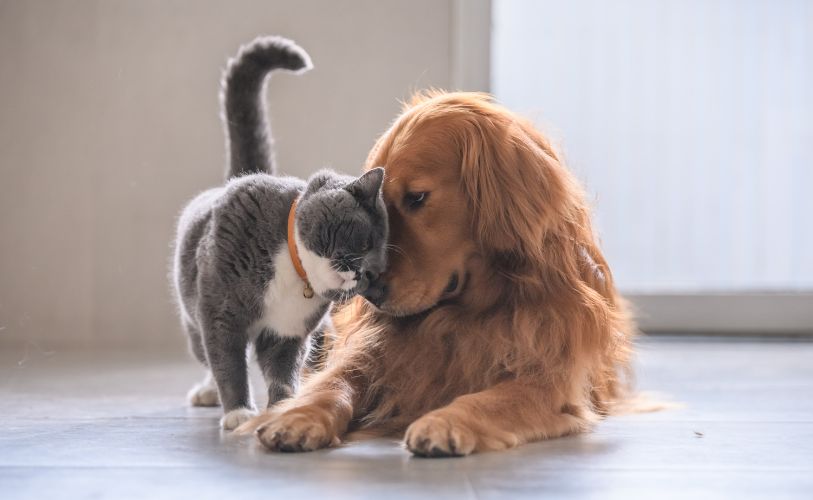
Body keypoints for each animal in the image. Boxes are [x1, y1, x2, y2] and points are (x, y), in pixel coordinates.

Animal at [171, 38, 386, 430]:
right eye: (364, 243)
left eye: (379, 270)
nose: (364, 272)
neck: (293, 270)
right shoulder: (220, 313)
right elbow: (228, 362)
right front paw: (238, 411)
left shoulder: (289, 331)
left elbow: (282, 370)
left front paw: (283, 407)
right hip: (192, 312)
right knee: (206, 353)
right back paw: (208, 392)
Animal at [238, 91, 632, 458]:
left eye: (417, 198)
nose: (370, 293)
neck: (466, 313)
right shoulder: (371, 354)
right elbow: (332, 384)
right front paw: (296, 416)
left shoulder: (549, 379)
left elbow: (489, 399)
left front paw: (445, 422)